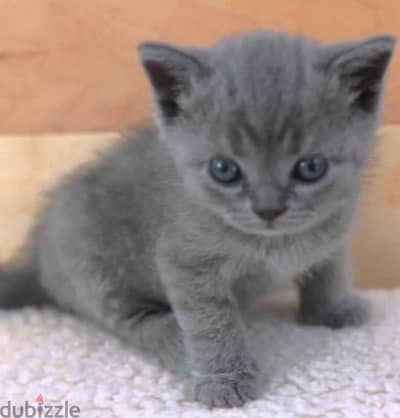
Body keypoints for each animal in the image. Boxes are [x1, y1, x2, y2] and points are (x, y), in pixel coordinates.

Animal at [0, 30, 394, 408]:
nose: (267, 209)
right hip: (95, 265)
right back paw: (176, 342)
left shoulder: (335, 226)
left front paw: (331, 309)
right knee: (132, 321)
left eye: (311, 167)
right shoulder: (185, 262)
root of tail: (38, 256)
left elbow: (330, 268)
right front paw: (224, 379)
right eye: (224, 169)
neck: (275, 242)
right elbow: (211, 324)